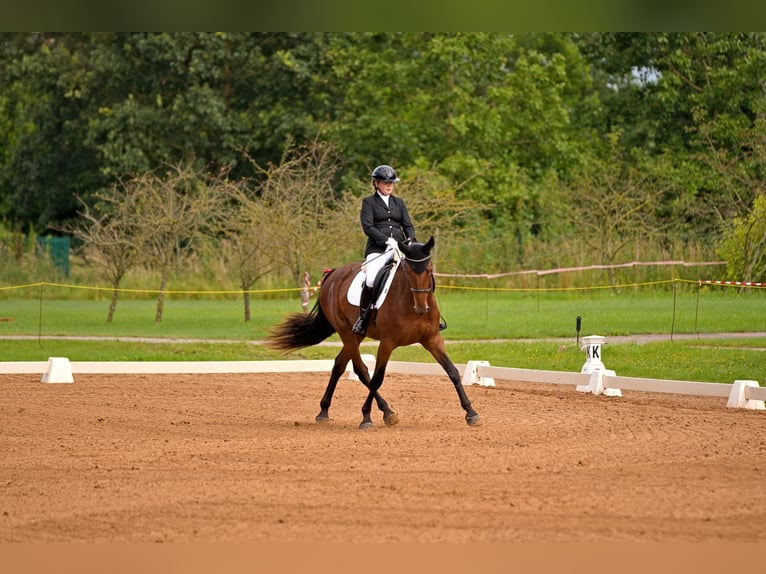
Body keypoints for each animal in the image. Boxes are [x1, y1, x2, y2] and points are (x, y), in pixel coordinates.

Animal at [267, 236, 481, 429]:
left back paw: (324, 411)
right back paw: (385, 412)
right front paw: (367, 417)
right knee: (361, 370)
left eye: (429, 270)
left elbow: (452, 371)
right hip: (346, 332)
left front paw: (471, 413)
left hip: (357, 335)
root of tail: (334, 274)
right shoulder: (387, 342)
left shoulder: (432, 339)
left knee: (339, 365)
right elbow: (377, 378)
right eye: (408, 270)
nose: (422, 308)